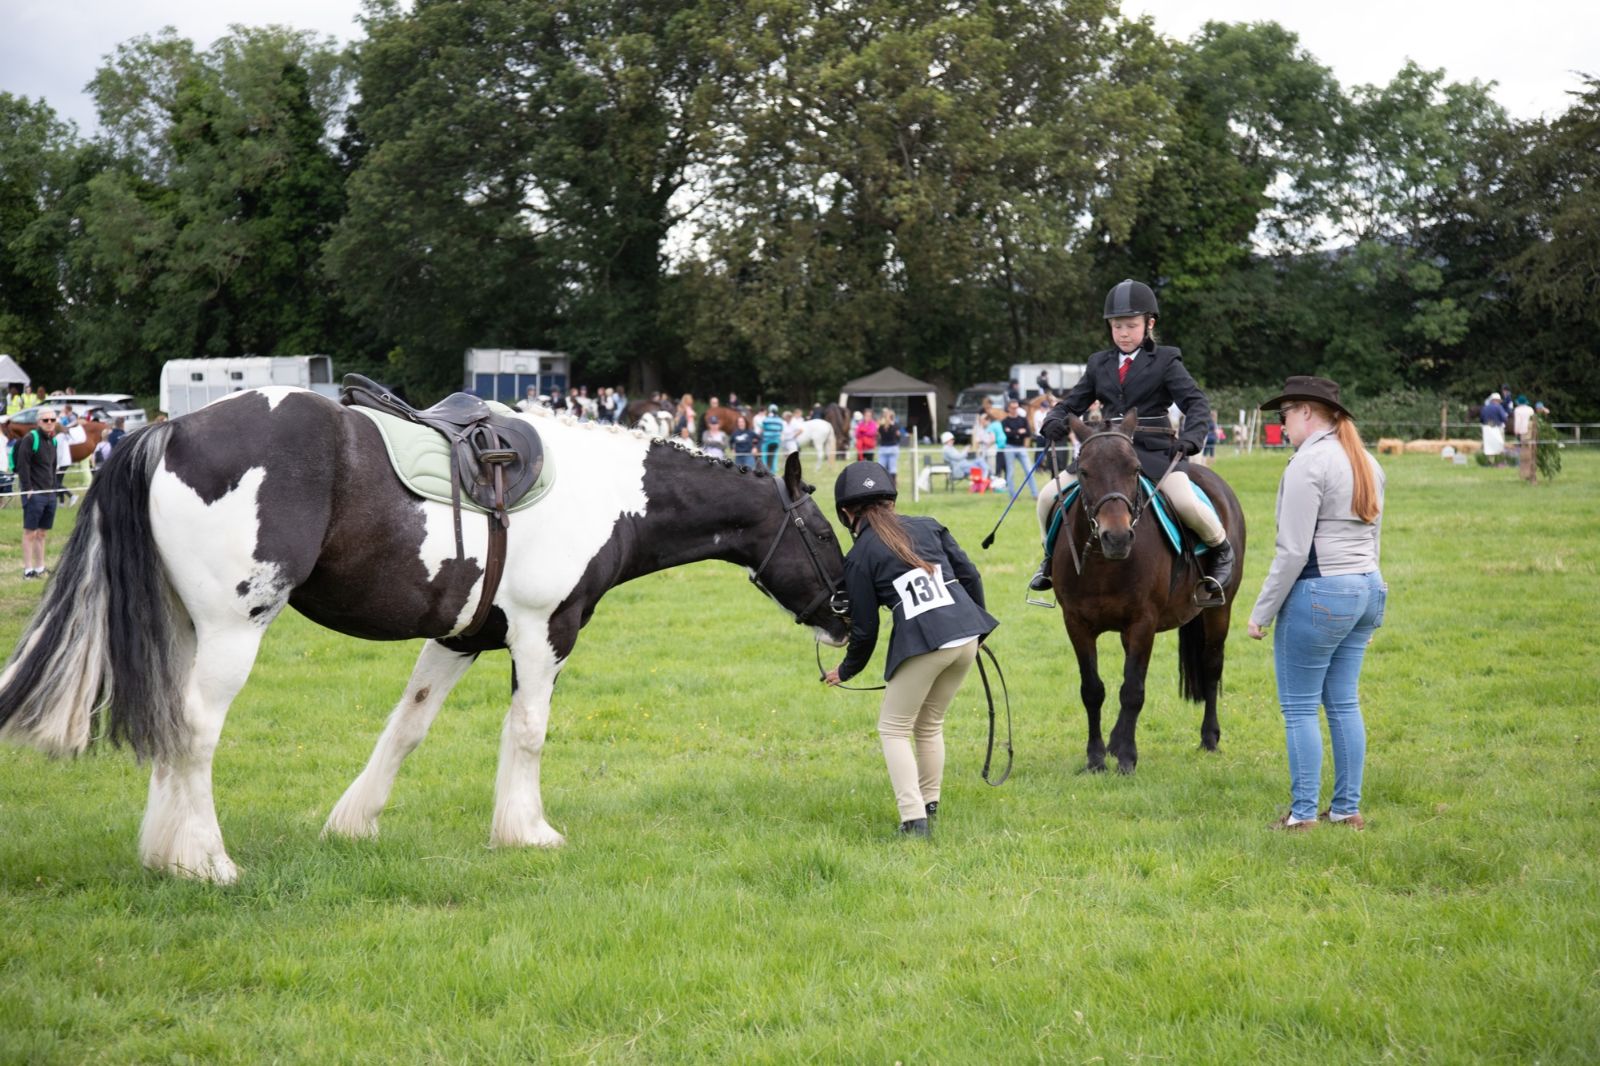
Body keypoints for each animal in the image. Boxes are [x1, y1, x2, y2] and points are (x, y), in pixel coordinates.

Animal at [0, 388, 850, 883]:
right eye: (820, 530)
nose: (846, 615)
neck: (609, 494)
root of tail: (168, 431)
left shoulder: (461, 637)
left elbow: (406, 728)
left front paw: (354, 822)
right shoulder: (545, 632)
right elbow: (529, 732)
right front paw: (526, 831)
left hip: (185, 629)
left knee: (169, 728)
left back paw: (165, 851)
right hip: (233, 630)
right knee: (196, 730)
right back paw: (206, 860)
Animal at [1048, 411, 1246, 774]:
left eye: (1135, 469)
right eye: (1084, 471)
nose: (1116, 537)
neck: (1105, 563)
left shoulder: (1143, 622)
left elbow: (1133, 690)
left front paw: (1127, 758)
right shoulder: (1077, 624)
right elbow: (1092, 689)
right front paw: (1096, 758)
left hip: (1218, 609)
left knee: (1211, 666)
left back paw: (1209, 738)